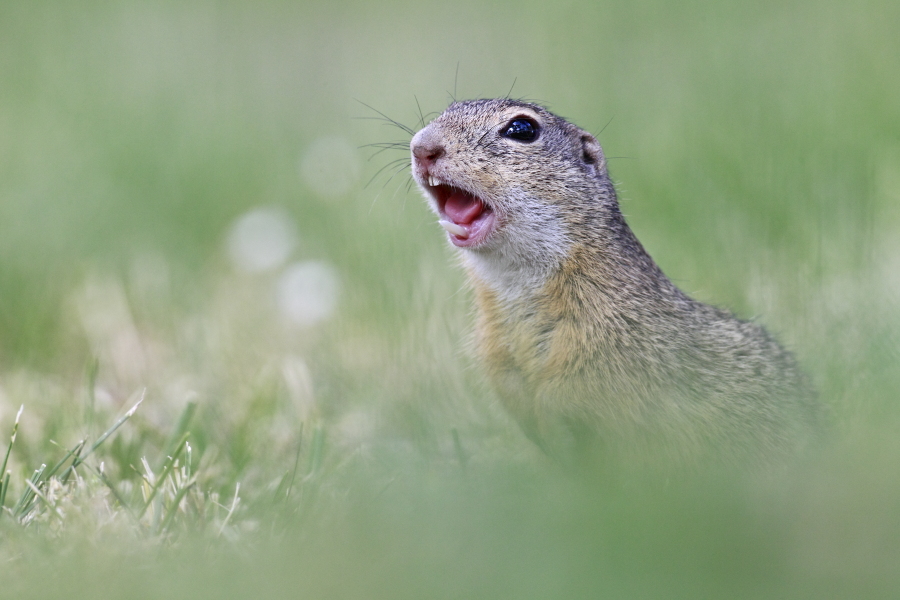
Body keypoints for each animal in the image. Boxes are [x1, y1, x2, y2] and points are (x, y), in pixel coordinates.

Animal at [409, 98, 821, 468]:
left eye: (522, 129)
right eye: (446, 110)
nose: (422, 147)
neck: (515, 282)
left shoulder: (612, 340)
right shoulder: (498, 354)